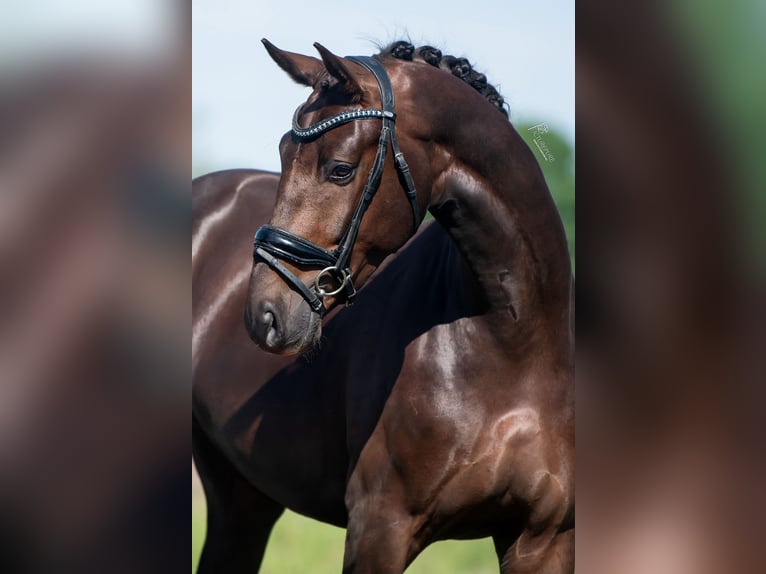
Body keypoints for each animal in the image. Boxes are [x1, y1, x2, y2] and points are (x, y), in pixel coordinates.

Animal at [193, 39, 574, 573]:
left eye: (340, 169)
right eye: (284, 153)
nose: (263, 316)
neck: (513, 343)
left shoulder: (544, 540)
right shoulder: (380, 530)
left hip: (243, 498)